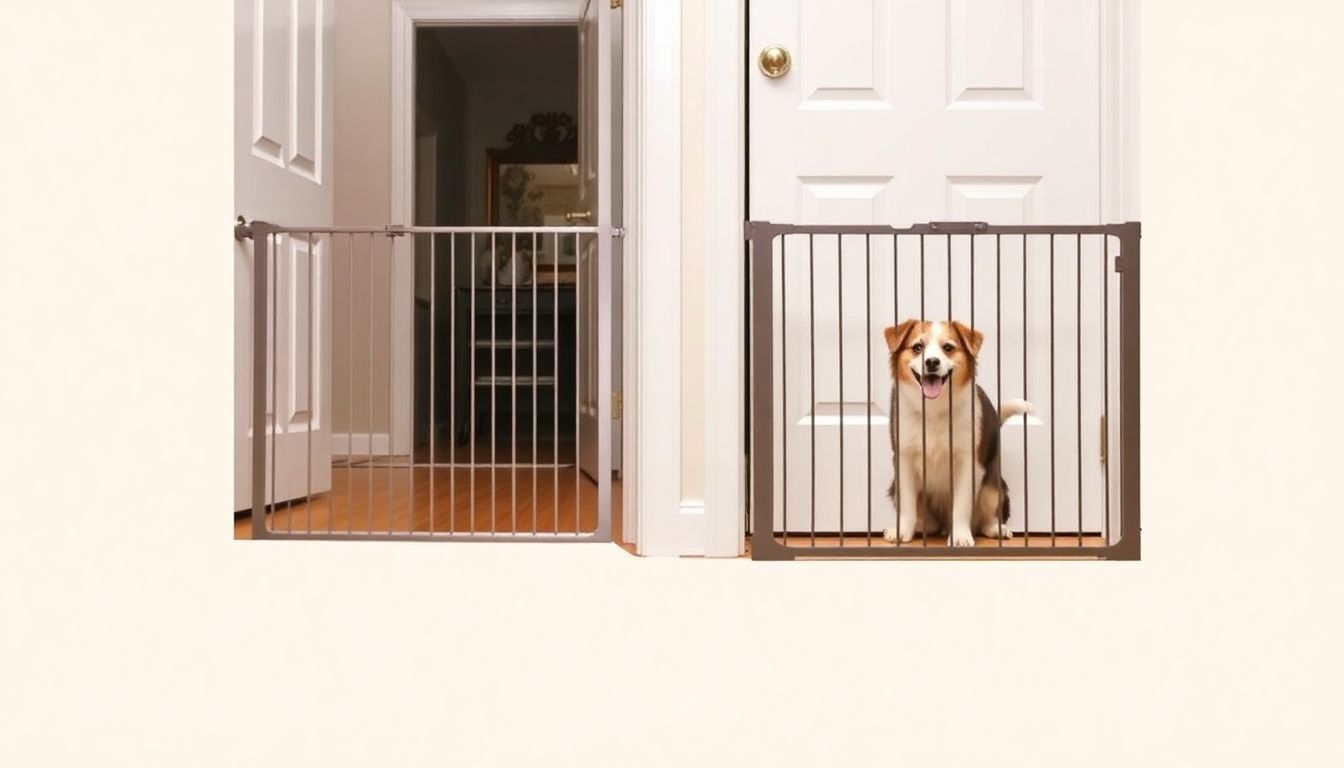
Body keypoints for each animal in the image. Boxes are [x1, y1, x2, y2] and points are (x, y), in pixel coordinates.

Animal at [881, 318, 1026, 546]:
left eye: (948, 348)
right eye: (917, 347)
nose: (931, 362)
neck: (933, 409)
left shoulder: (968, 462)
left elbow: (962, 506)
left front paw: (960, 536)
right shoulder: (903, 459)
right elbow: (907, 505)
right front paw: (902, 530)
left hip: (992, 486)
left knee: (986, 517)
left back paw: (996, 528)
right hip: (899, 488)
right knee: (929, 523)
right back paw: (920, 527)